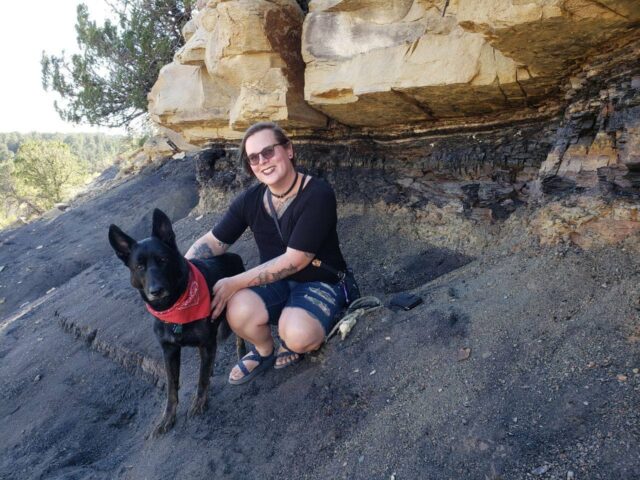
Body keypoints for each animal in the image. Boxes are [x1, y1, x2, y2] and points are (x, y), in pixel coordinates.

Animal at [109, 209, 244, 436]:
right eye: (139, 266)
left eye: (163, 259)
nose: (156, 291)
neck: (174, 306)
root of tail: (233, 255)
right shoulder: (169, 351)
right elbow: (172, 389)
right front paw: (167, 418)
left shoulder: (206, 343)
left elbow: (201, 379)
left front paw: (199, 402)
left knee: (239, 339)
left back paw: (241, 355)